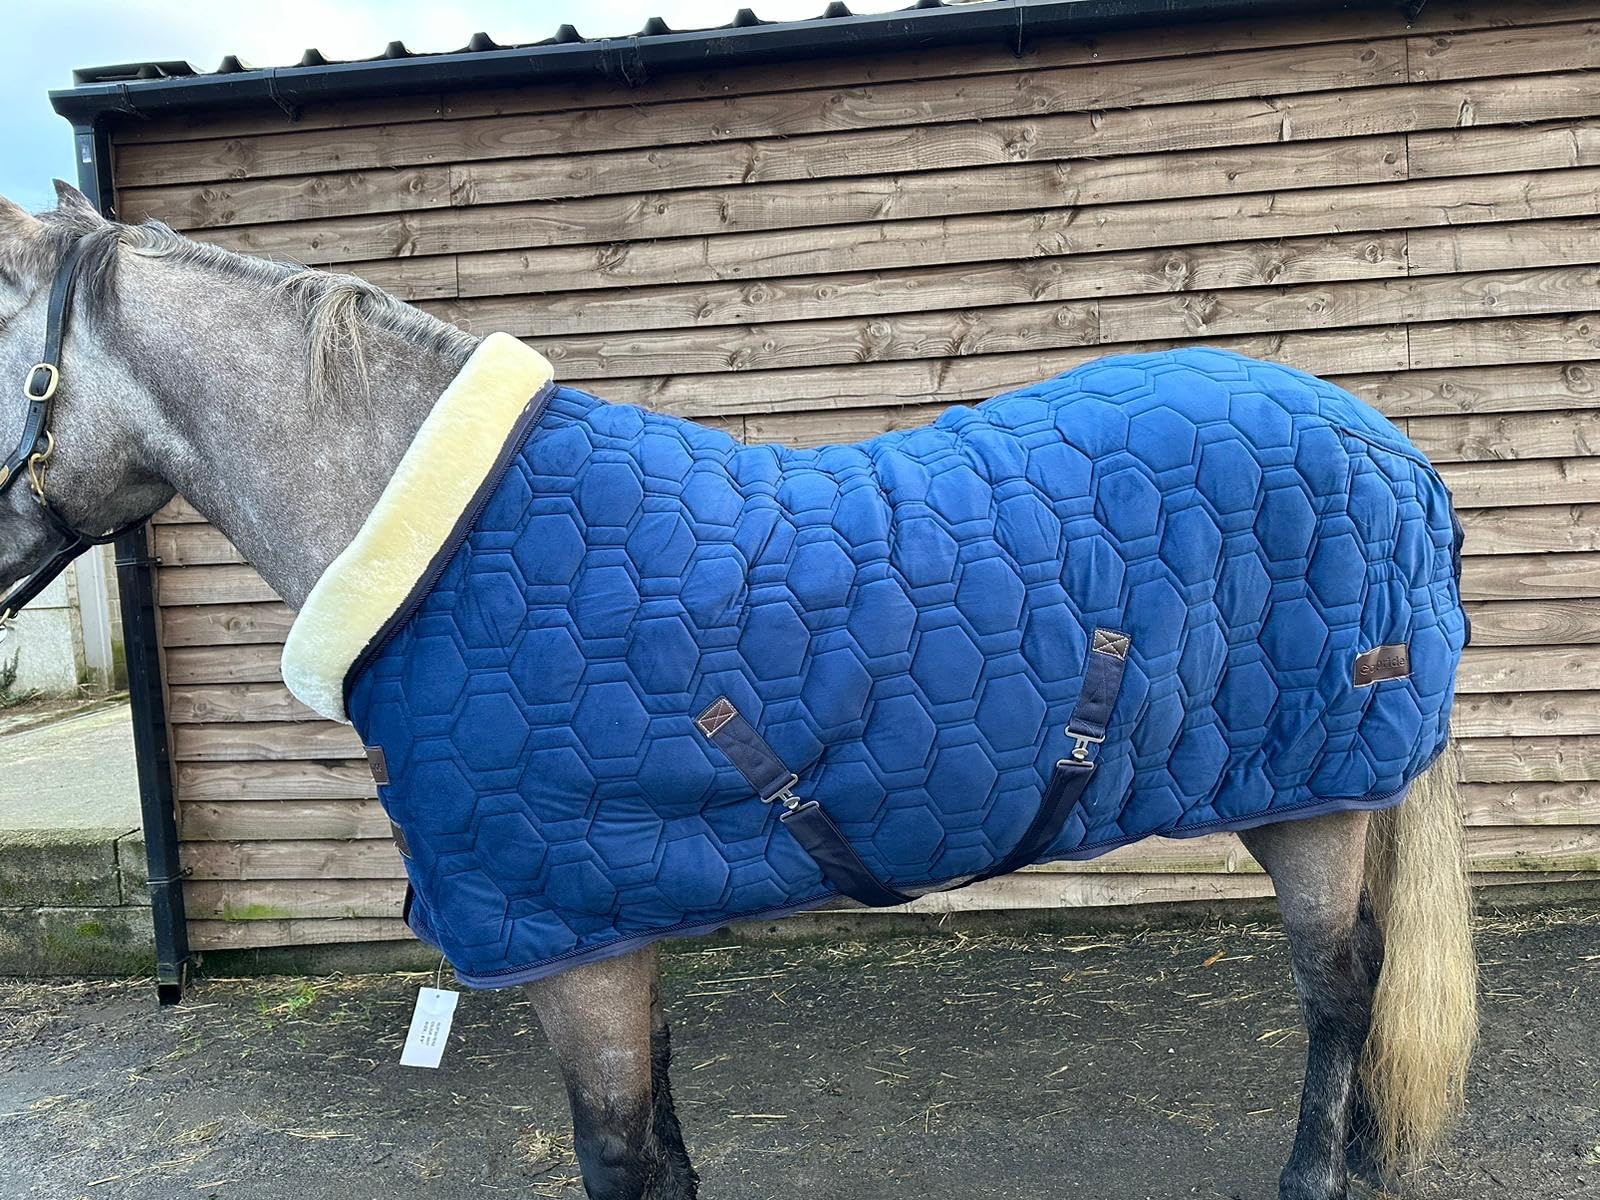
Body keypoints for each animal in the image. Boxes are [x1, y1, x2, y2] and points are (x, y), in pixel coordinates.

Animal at [0, 184, 1477, 1200]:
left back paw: (1317, 1177)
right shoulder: (609, 921)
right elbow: (660, 1143)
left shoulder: (571, 947)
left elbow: (617, 1154)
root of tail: (1391, 448)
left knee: (1339, 991)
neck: (447, 544)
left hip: (1313, 796)